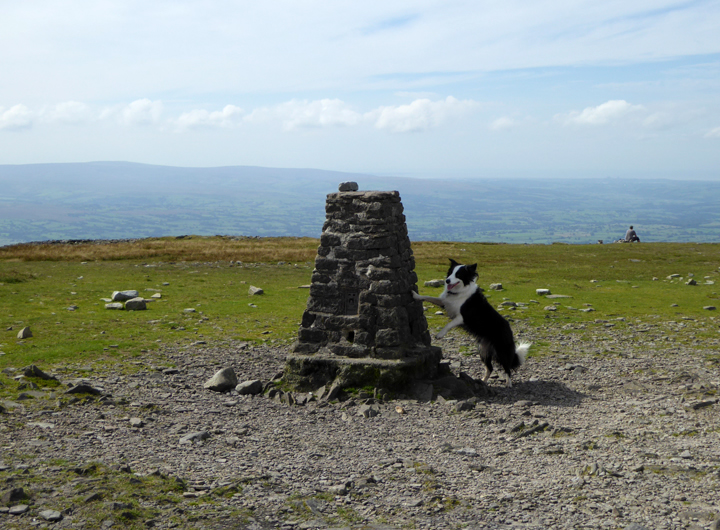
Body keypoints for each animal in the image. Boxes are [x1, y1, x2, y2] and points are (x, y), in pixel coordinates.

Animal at [416, 258, 528, 386]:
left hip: (501, 350)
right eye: (450, 272)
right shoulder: (445, 303)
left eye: (458, 275)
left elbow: (449, 324)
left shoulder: (462, 317)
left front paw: (440, 334)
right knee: (490, 368)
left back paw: (508, 383)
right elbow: (428, 297)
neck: (460, 291)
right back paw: (482, 381)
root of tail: (509, 329)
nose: (447, 280)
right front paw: (415, 295)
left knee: (507, 367)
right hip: (483, 350)